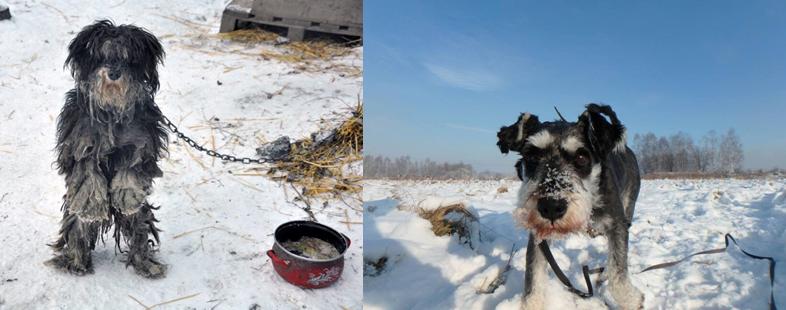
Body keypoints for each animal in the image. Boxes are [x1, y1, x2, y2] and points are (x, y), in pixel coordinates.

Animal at [45, 21, 168, 278]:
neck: (112, 111)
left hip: (141, 216)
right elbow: (88, 178)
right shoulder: (81, 144)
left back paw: (146, 264)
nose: (113, 73)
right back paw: (76, 262)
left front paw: (128, 196)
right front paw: (91, 204)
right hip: (74, 217)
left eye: (128, 58)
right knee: (77, 231)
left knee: (140, 232)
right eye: (101, 55)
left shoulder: (140, 144)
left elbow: (130, 173)